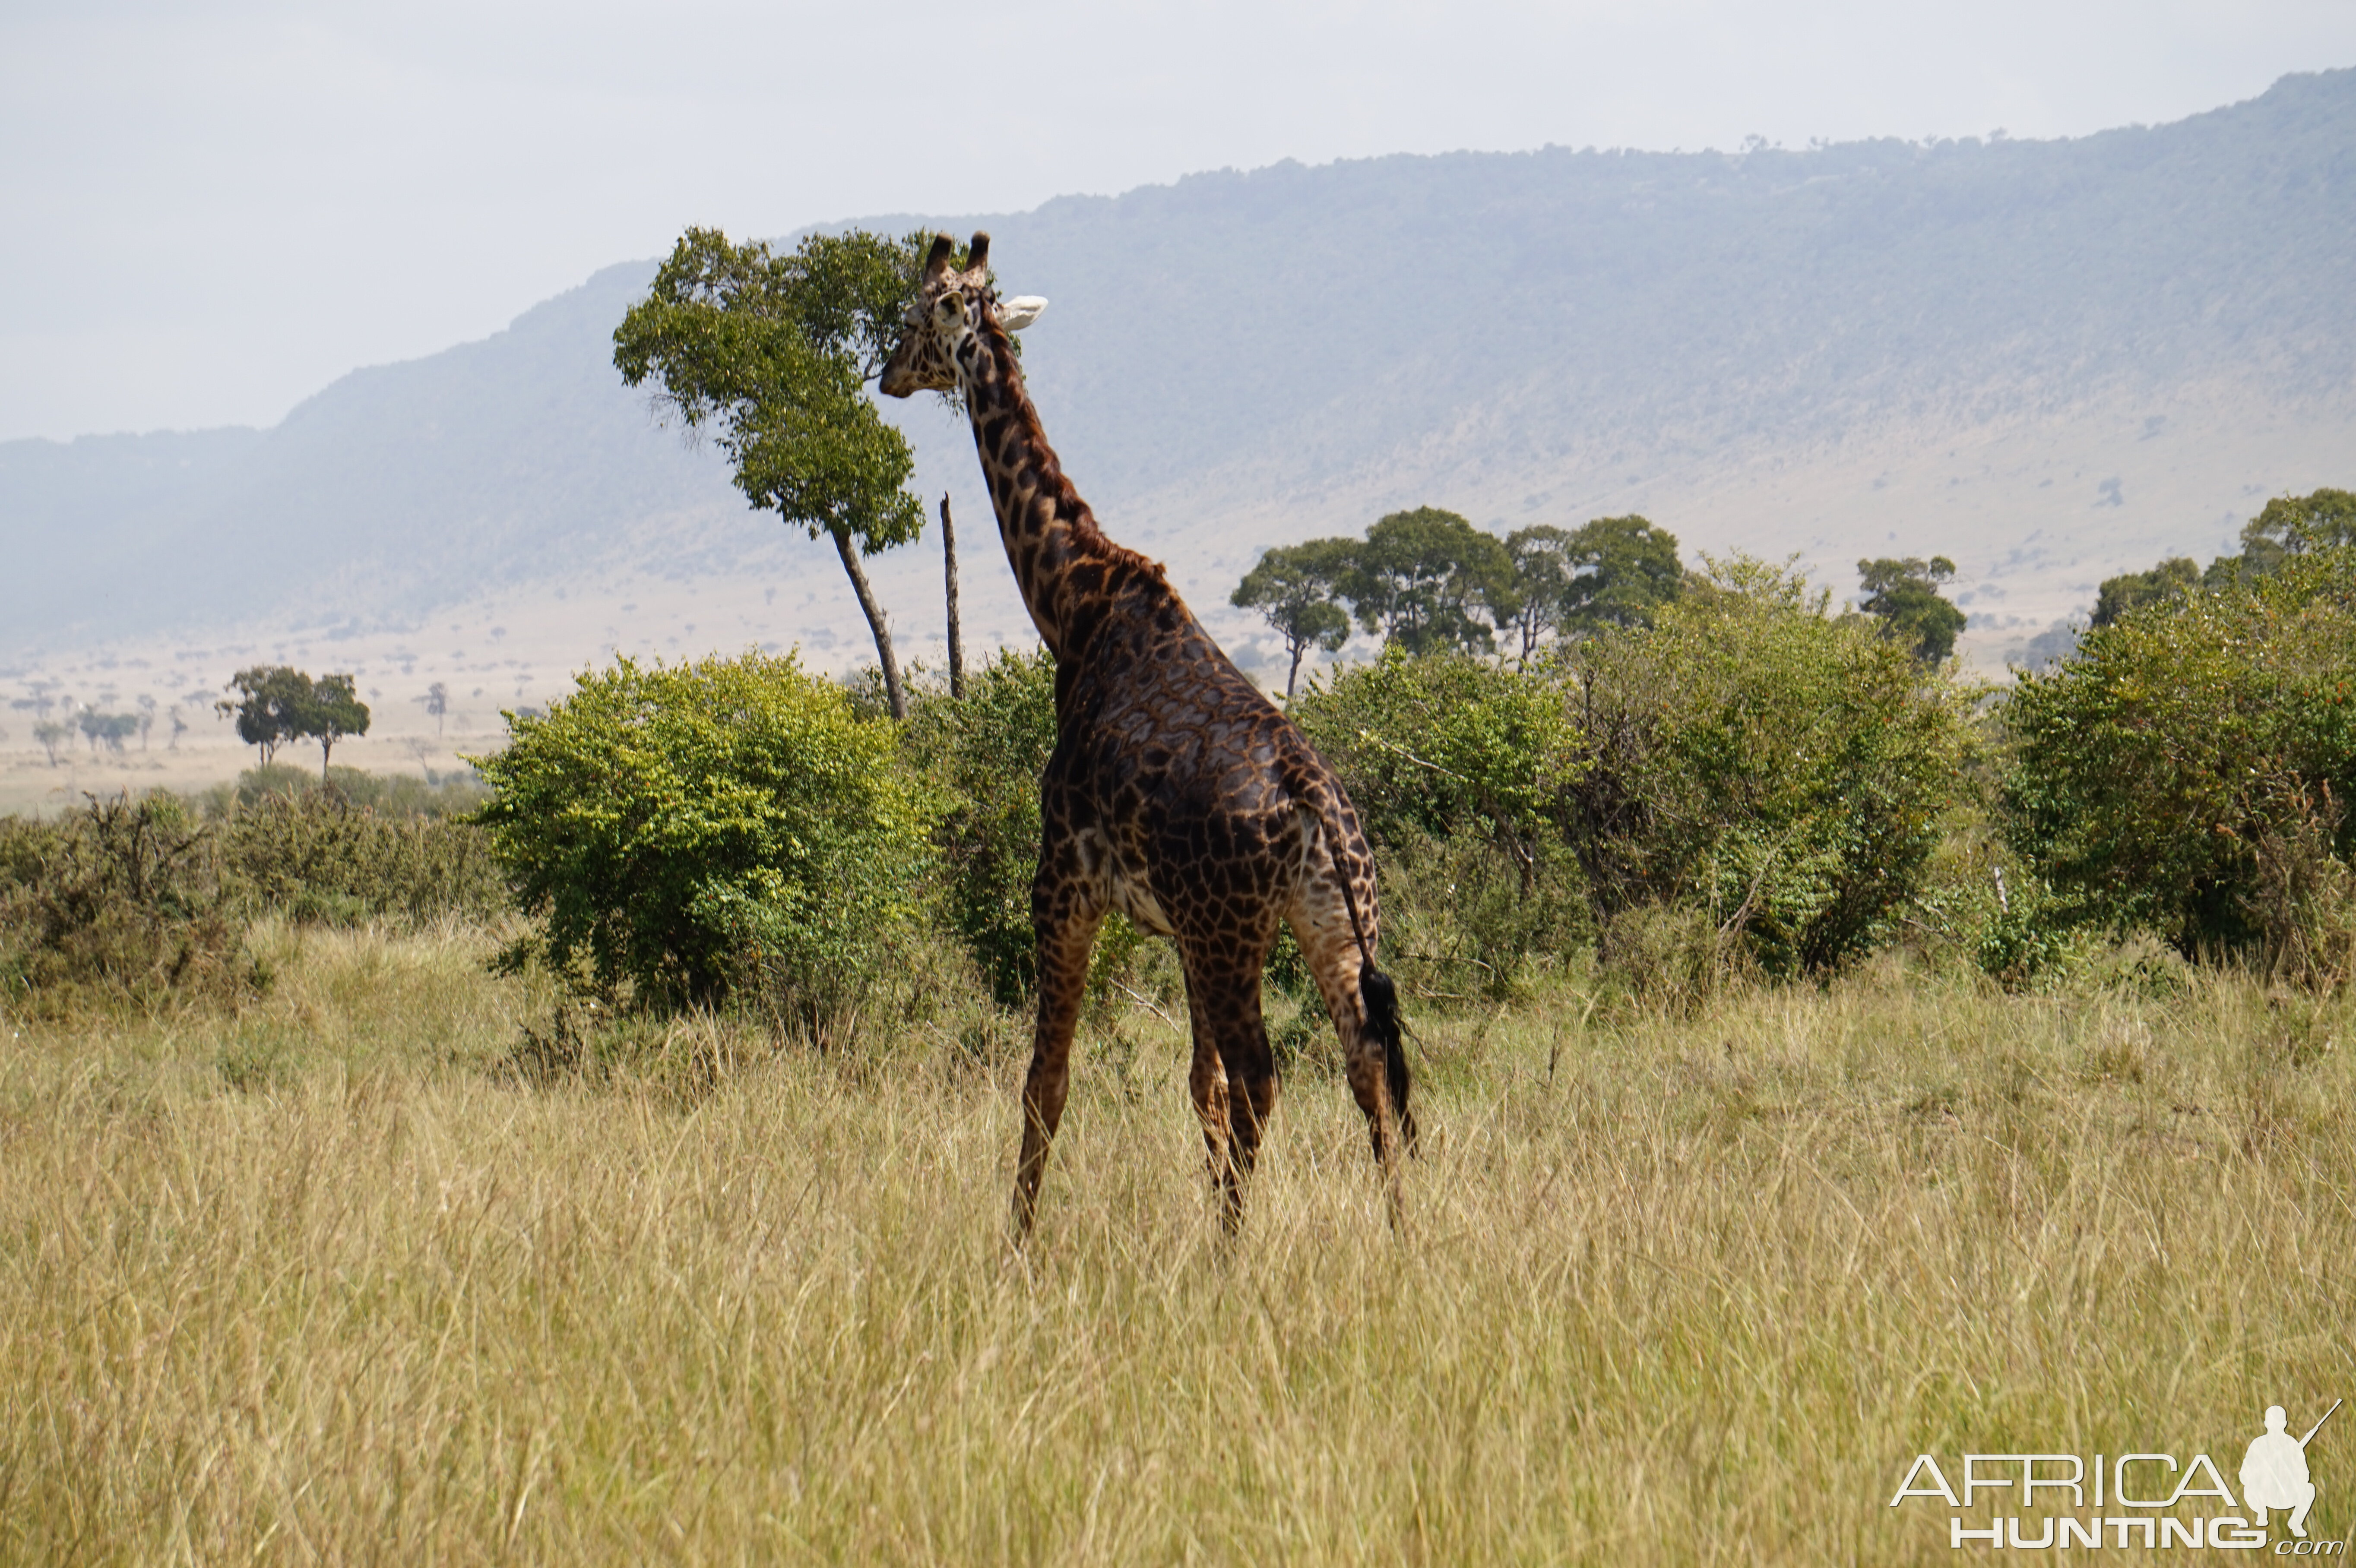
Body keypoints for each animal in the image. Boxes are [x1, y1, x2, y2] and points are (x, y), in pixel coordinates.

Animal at [876, 232, 1404, 1233]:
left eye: (917, 315)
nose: (884, 375)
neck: (1075, 606)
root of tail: (1314, 801)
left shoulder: (1062, 882)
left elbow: (1046, 1080)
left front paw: (1017, 1241)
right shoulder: (1174, 927)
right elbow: (1195, 1084)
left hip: (1233, 931)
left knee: (1264, 1076)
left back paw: (1230, 1249)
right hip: (1322, 916)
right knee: (1366, 1062)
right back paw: (1403, 1238)